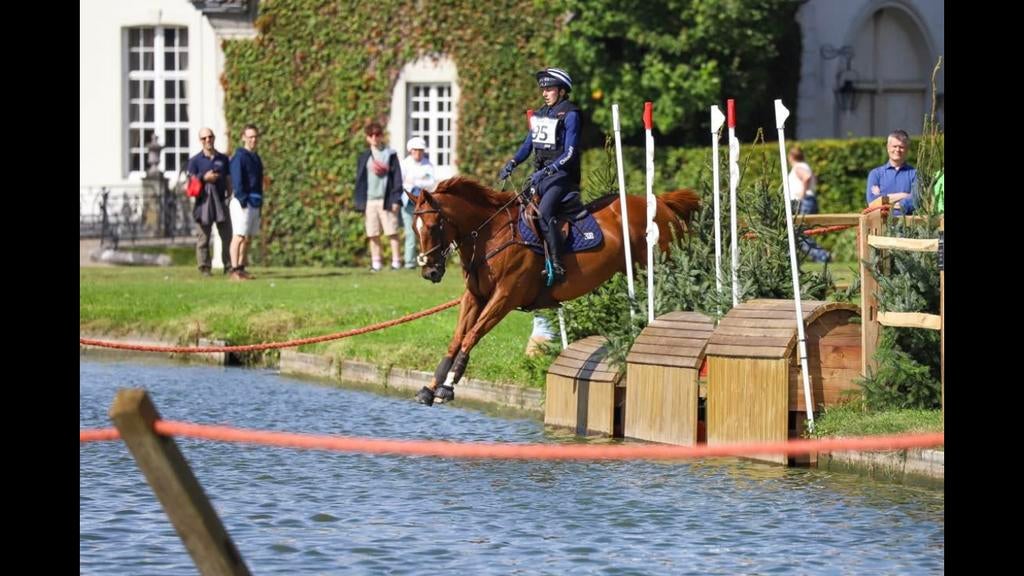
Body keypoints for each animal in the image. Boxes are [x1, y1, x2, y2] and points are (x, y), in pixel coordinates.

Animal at [409, 176, 699, 406]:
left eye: (433, 227)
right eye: (415, 228)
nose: (429, 272)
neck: (489, 236)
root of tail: (662, 202)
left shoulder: (505, 297)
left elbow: (470, 337)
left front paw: (448, 386)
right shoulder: (475, 297)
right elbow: (457, 339)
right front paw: (432, 387)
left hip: (662, 266)